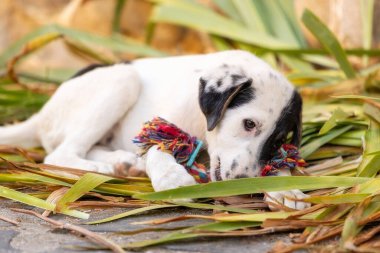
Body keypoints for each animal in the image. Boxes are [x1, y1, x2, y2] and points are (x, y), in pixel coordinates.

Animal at [0, 50, 308, 210]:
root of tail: (41, 114)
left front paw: (285, 189)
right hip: (122, 79)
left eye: (277, 141)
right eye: (249, 124)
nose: (246, 184)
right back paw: (99, 169)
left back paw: (123, 163)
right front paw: (172, 178)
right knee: (58, 155)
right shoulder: (160, 126)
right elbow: (157, 149)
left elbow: (278, 163)